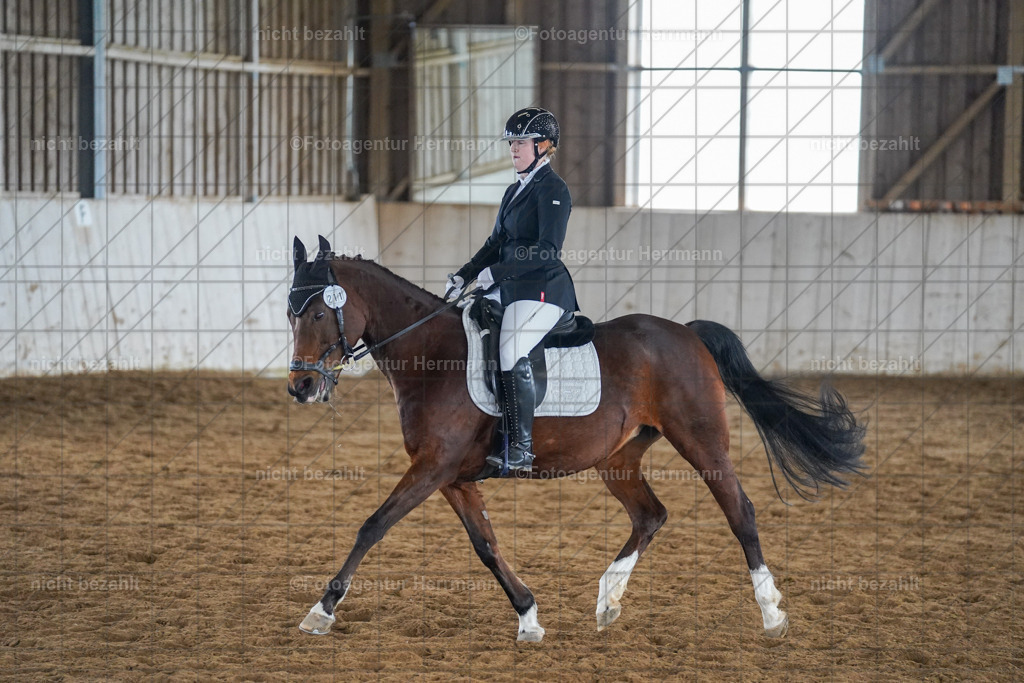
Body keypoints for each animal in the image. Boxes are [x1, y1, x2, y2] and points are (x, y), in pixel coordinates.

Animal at [287, 236, 865, 641]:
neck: (431, 355)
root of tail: (687, 332)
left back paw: (771, 614)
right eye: (290, 312)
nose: (301, 387)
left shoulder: (432, 467)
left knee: (739, 511)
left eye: (317, 312)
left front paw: (321, 611)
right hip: (617, 458)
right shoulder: (451, 477)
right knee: (650, 515)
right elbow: (486, 545)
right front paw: (529, 617)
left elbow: (373, 525)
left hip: (703, 442)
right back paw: (608, 599)